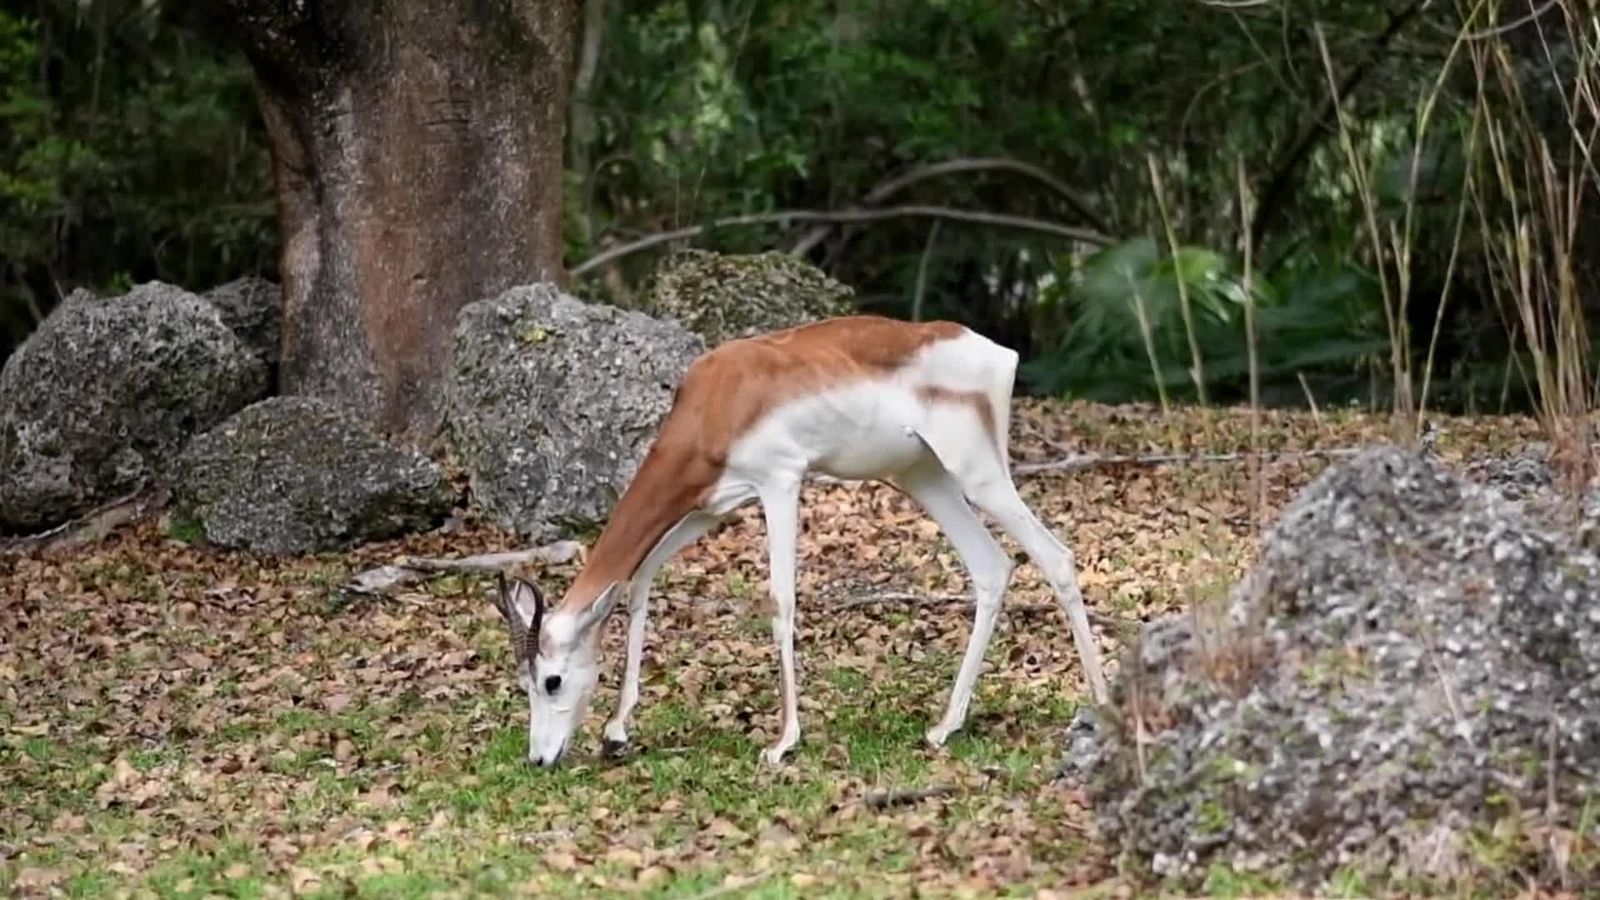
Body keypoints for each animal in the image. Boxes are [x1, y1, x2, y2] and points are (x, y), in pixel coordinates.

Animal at [489, 315, 1108, 767]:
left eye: (551, 680)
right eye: (523, 684)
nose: (537, 760)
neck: (719, 401)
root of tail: (995, 352)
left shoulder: (780, 482)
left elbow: (781, 601)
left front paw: (783, 741)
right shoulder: (710, 506)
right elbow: (639, 579)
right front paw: (618, 731)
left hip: (977, 472)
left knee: (1056, 557)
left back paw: (1101, 704)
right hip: (924, 477)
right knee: (992, 568)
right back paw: (943, 726)